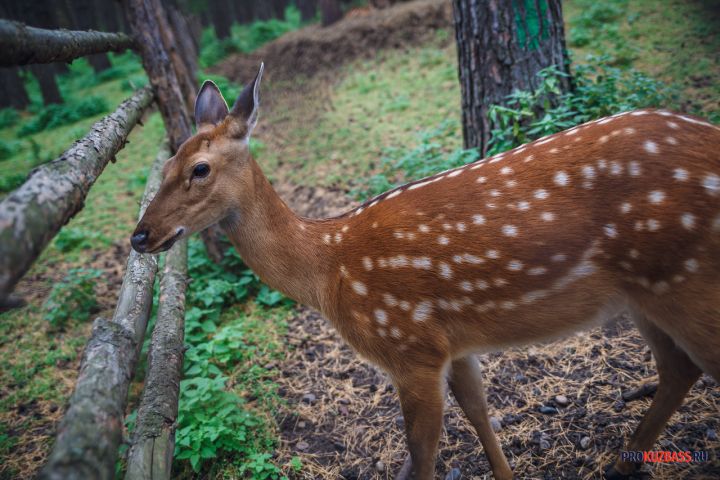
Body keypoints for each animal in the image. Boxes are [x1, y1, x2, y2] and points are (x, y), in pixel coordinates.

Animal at [131, 64, 720, 480]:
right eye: (164, 165)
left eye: (199, 169)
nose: (140, 235)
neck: (330, 268)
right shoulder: (451, 344)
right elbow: (480, 413)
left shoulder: (409, 346)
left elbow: (423, 457)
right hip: (645, 293)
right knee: (678, 369)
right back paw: (622, 464)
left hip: (685, 279)